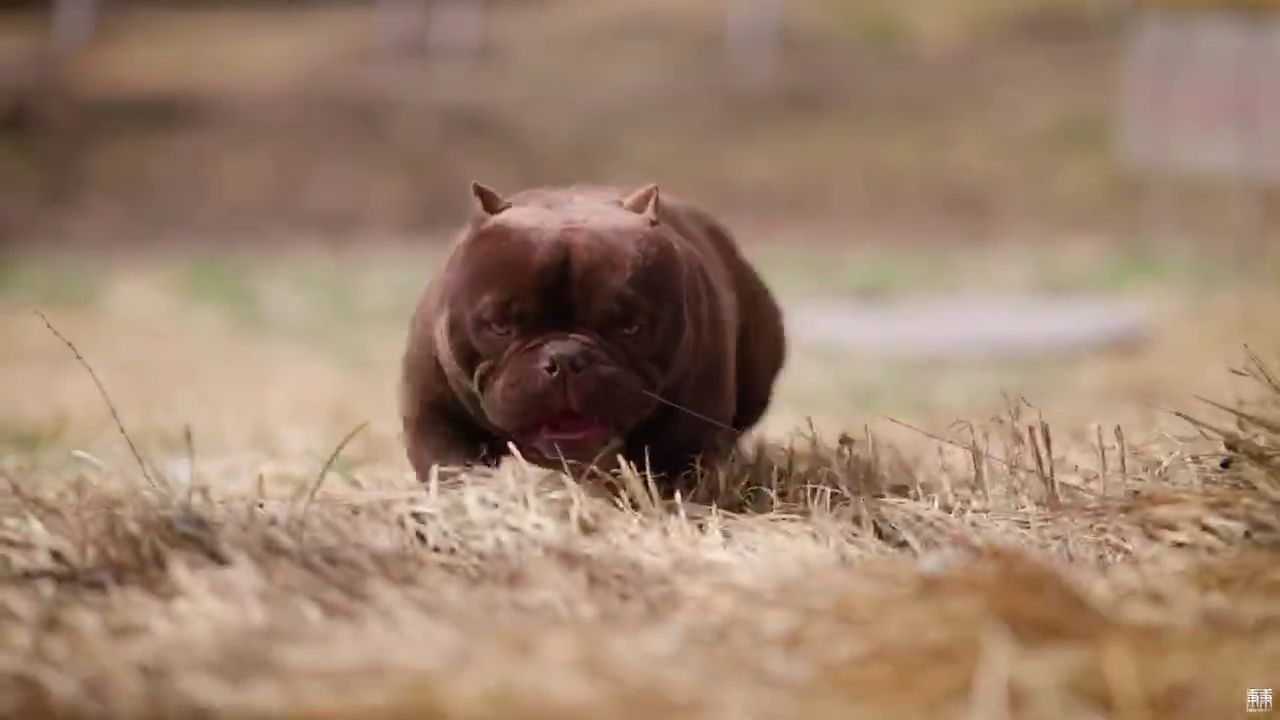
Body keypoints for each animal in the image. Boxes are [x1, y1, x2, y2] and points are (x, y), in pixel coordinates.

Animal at [399, 181, 783, 486]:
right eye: (500, 326)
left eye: (631, 327)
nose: (564, 359)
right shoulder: (438, 419)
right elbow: (453, 468)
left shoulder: (687, 429)